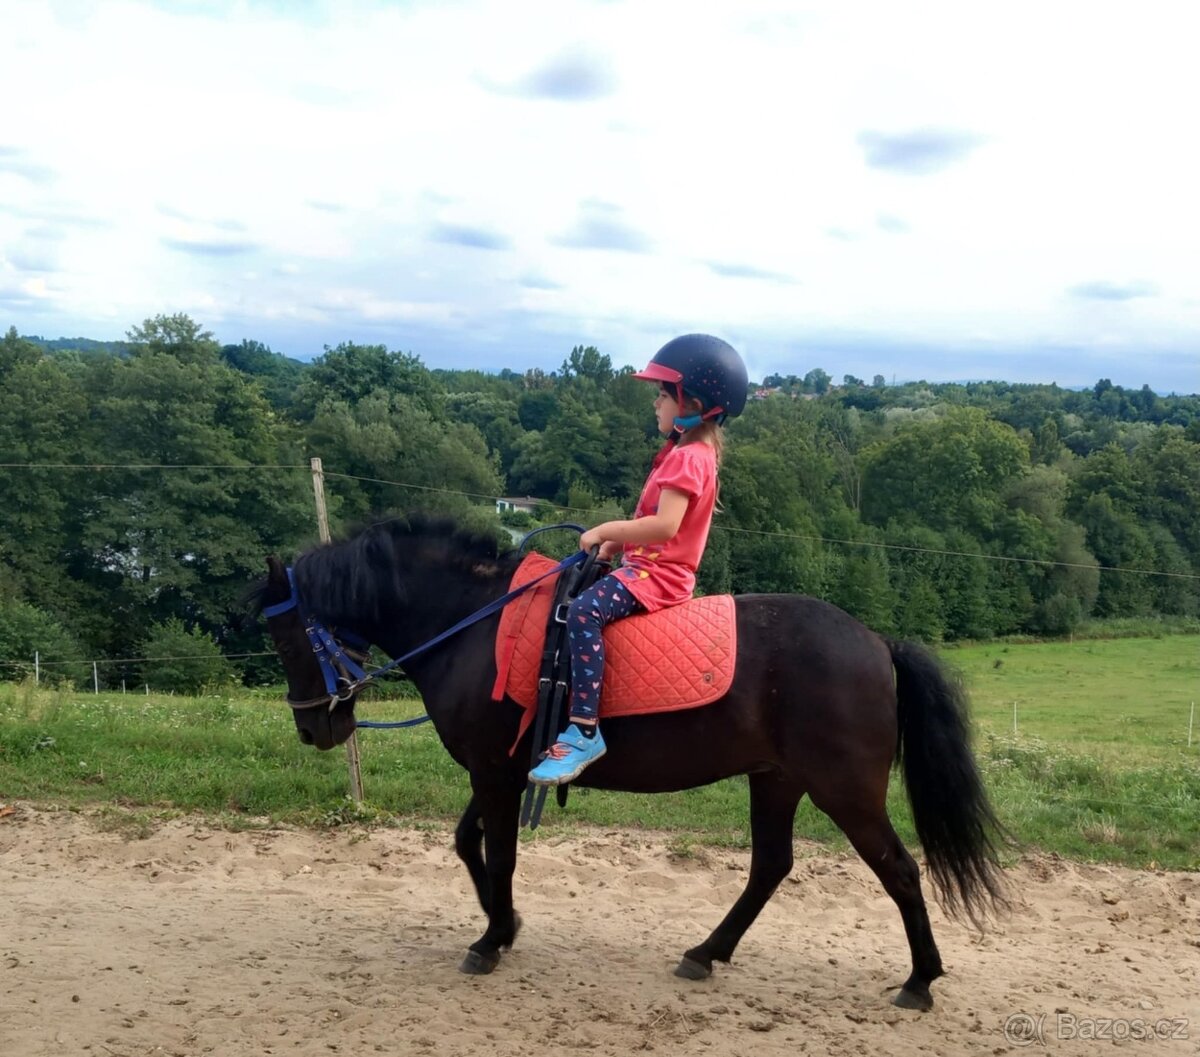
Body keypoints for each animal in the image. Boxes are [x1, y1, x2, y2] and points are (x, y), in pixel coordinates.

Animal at [253, 513, 1007, 1011]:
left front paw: (492, 938)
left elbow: (498, 855)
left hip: (843, 790)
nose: (313, 728)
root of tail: (877, 642)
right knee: (771, 866)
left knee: (901, 871)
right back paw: (707, 953)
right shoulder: (499, 768)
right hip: (777, 780)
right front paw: (506, 924)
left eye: (285, 637)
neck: (474, 621)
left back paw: (920, 980)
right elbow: (470, 845)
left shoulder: (494, 771)